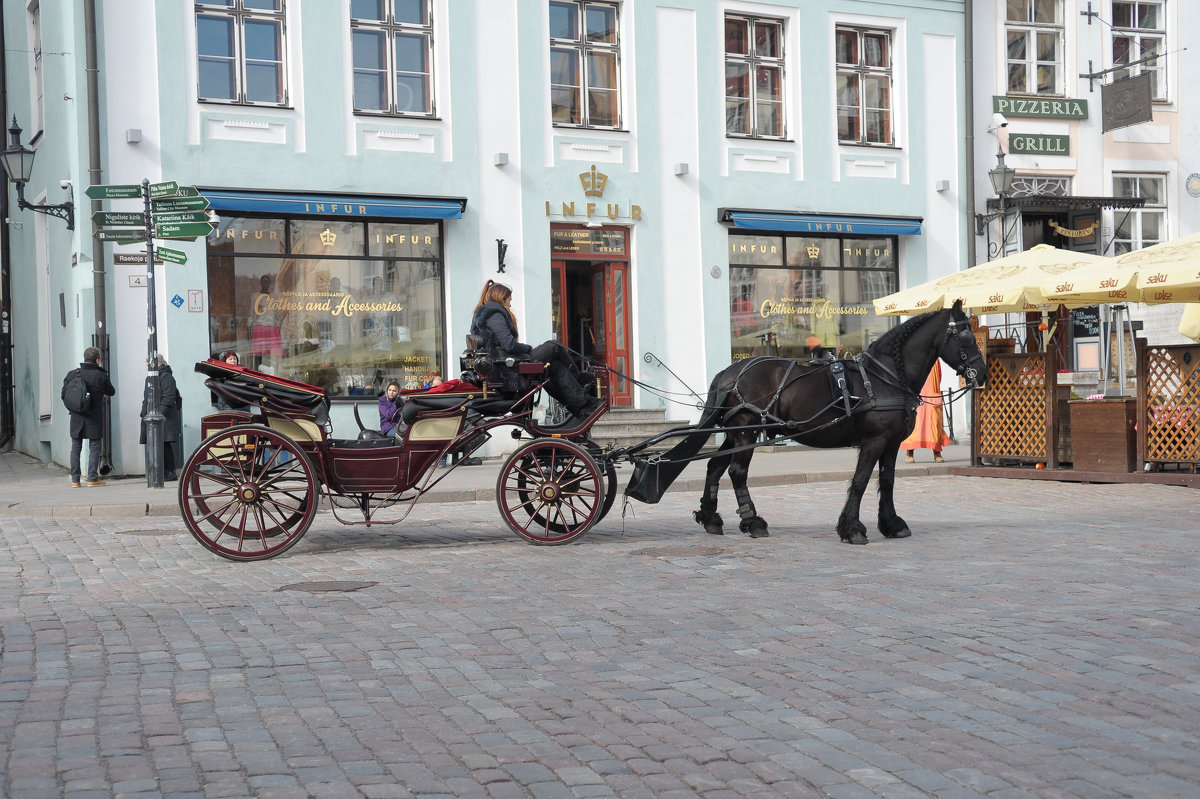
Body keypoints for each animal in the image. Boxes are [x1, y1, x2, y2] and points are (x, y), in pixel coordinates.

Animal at [691, 302, 988, 544]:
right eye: (966, 336)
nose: (982, 374)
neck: (885, 376)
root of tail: (728, 372)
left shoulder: (891, 443)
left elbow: (887, 481)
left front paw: (891, 524)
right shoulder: (874, 441)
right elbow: (860, 480)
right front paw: (852, 528)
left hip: (734, 434)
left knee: (714, 466)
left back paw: (711, 518)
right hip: (747, 431)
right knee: (737, 472)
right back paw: (753, 522)